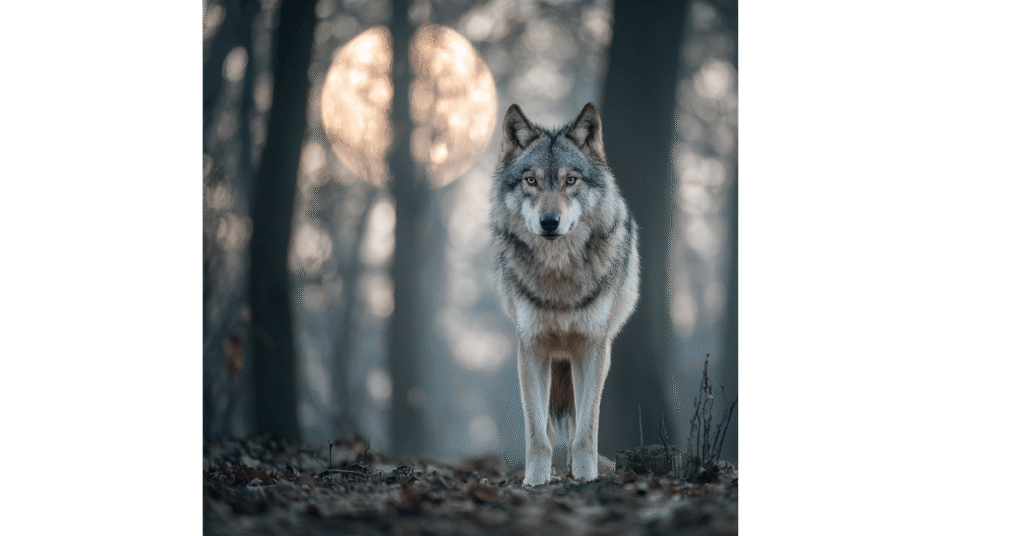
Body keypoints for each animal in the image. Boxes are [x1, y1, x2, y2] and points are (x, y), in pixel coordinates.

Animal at [491, 103, 640, 486]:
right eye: (531, 181)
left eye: (571, 180)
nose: (549, 221)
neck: (558, 277)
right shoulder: (531, 347)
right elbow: (537, 433)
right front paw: (535, 482)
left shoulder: (591, 347)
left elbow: (586, 429)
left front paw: (587, 479)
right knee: (549, 426)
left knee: (574, 423)